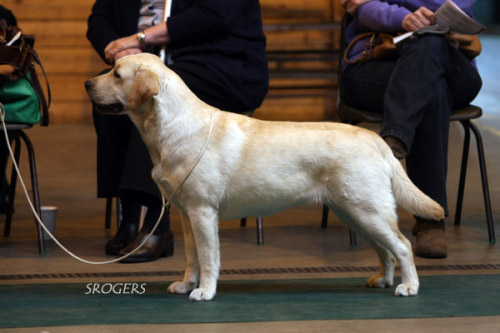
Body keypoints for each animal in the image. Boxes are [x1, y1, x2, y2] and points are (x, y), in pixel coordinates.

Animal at [84, 53, 444, 300]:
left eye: (116, 74)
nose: (87, 83)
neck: (172, 127)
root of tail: (376, 139)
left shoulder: (203, 211)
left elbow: (208, 256)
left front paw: (204, 291)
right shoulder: (186, 213)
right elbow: (190, 255)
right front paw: (186, 284)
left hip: (367, 209)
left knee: (402, 246)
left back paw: (408, 286)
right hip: (353, 213)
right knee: (384, 250)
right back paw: (383, 280)